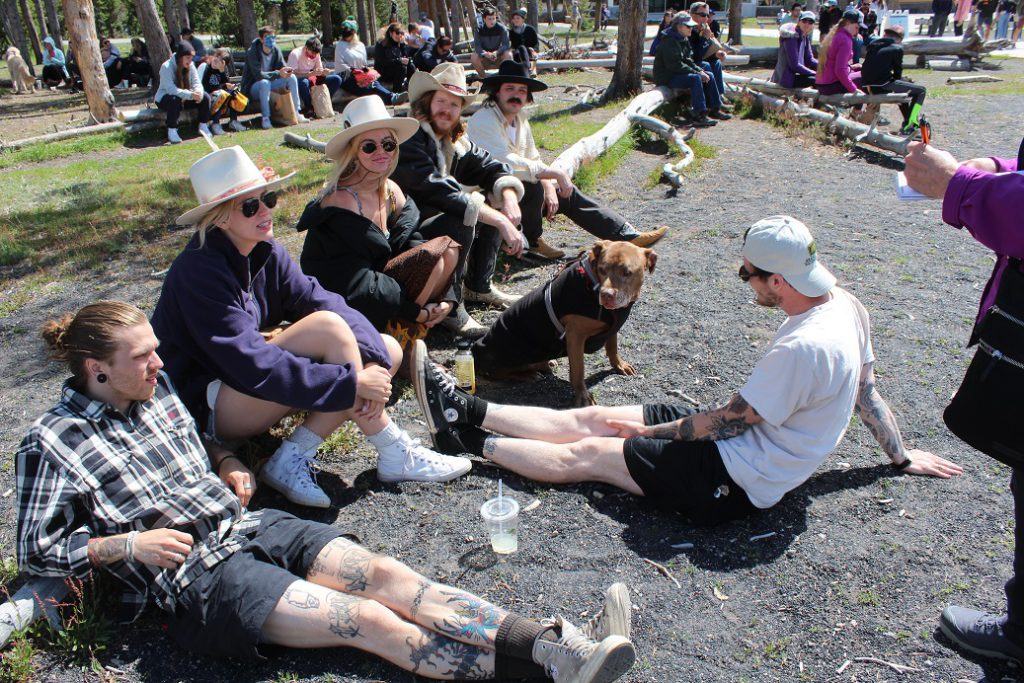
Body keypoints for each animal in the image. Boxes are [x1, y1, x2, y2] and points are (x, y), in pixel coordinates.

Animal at [471, 240, 655, 405]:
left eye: (627, 272)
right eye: (602, 270)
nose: (606, 295)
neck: (591, 282)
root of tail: (477, 347)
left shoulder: (612, 327)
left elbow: (612, 346)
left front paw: (619, 365)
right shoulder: (575, 336)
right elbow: (578, 370)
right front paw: (582, 397)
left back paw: (545, 363)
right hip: (509, 352)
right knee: (497, 373)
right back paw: (527, 374)